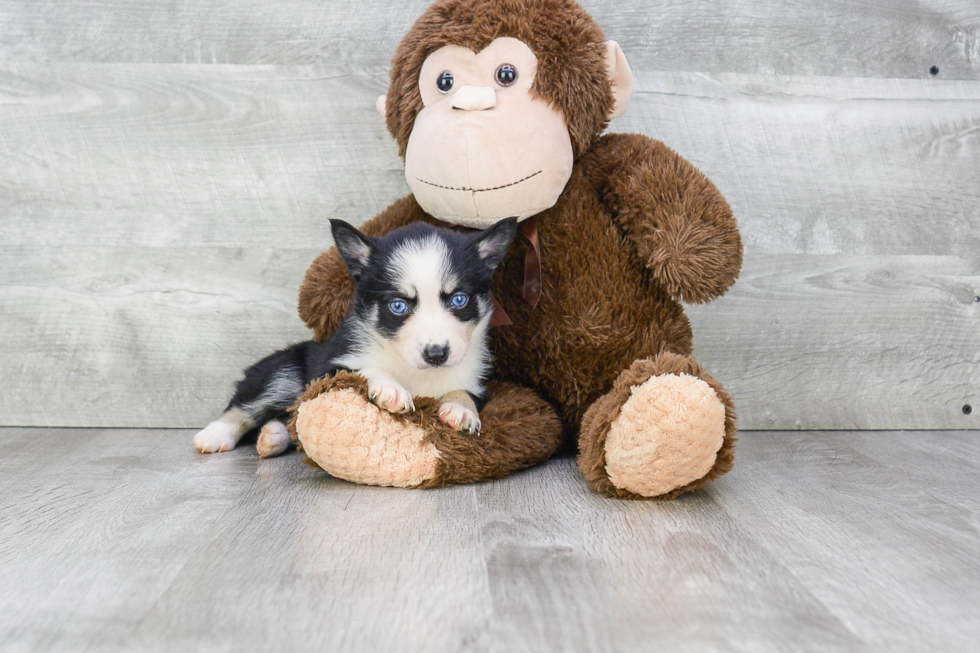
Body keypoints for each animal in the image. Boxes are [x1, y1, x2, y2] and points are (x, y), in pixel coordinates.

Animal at [188, 216, 516, 456]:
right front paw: (391, 389)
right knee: (246, 405)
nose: (436, 354)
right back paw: (215, 435)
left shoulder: (476, 379)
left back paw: (273, 437)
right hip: (280, 369)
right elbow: (362, 369)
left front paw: (461, 410)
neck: (416, 371)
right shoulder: (329, 366)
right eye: (398, 306)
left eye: (459, 300)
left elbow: (463, 391)